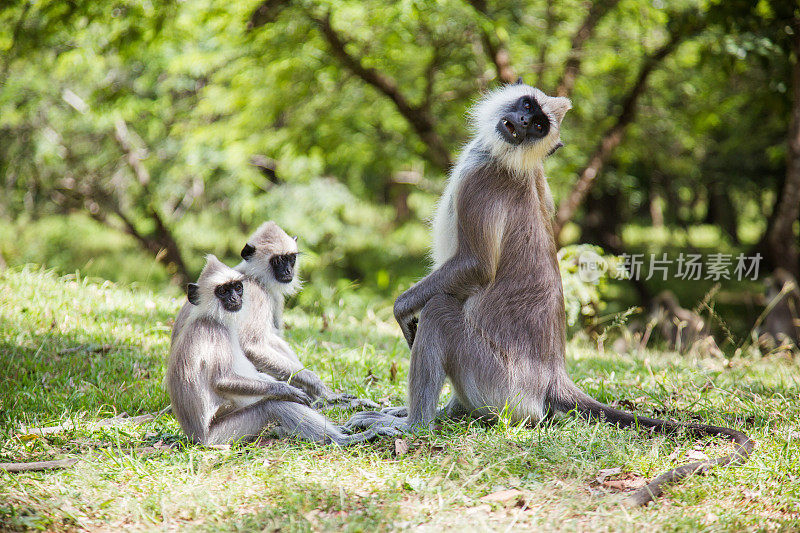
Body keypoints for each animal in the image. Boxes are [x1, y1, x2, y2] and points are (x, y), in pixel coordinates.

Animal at [166, 255, 396, 444]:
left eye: (237, 287)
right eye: (222, 291)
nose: (235, 298)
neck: (210, 318)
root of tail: (196, 438)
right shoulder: (216, 332)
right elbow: (223, 380)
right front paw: (287, 390)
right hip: (223, 435)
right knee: (273, 406)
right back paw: (344, 439)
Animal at [348, 81, 752, 504]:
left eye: (539, 126)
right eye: (528, 107)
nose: (524, 123)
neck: (504, 157)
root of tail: (551, 377)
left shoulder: (484, 181)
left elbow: (476, 266)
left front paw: (402, 308)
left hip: (499, 381)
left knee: (440, 310)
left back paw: (415, 425)